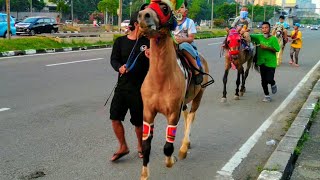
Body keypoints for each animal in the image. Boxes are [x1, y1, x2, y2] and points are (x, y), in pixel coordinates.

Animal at [138, 0, 212, 179]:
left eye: (164, 8)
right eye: (144, 7)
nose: (143, 16)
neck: (161, 79)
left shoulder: (172, 112)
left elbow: (167, 147)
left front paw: (172, 159)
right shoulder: (148, 112)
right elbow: (146, 145)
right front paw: (144, 173)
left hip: (199, 95)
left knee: (191, 116)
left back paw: (184, 147)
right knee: (186, 115)